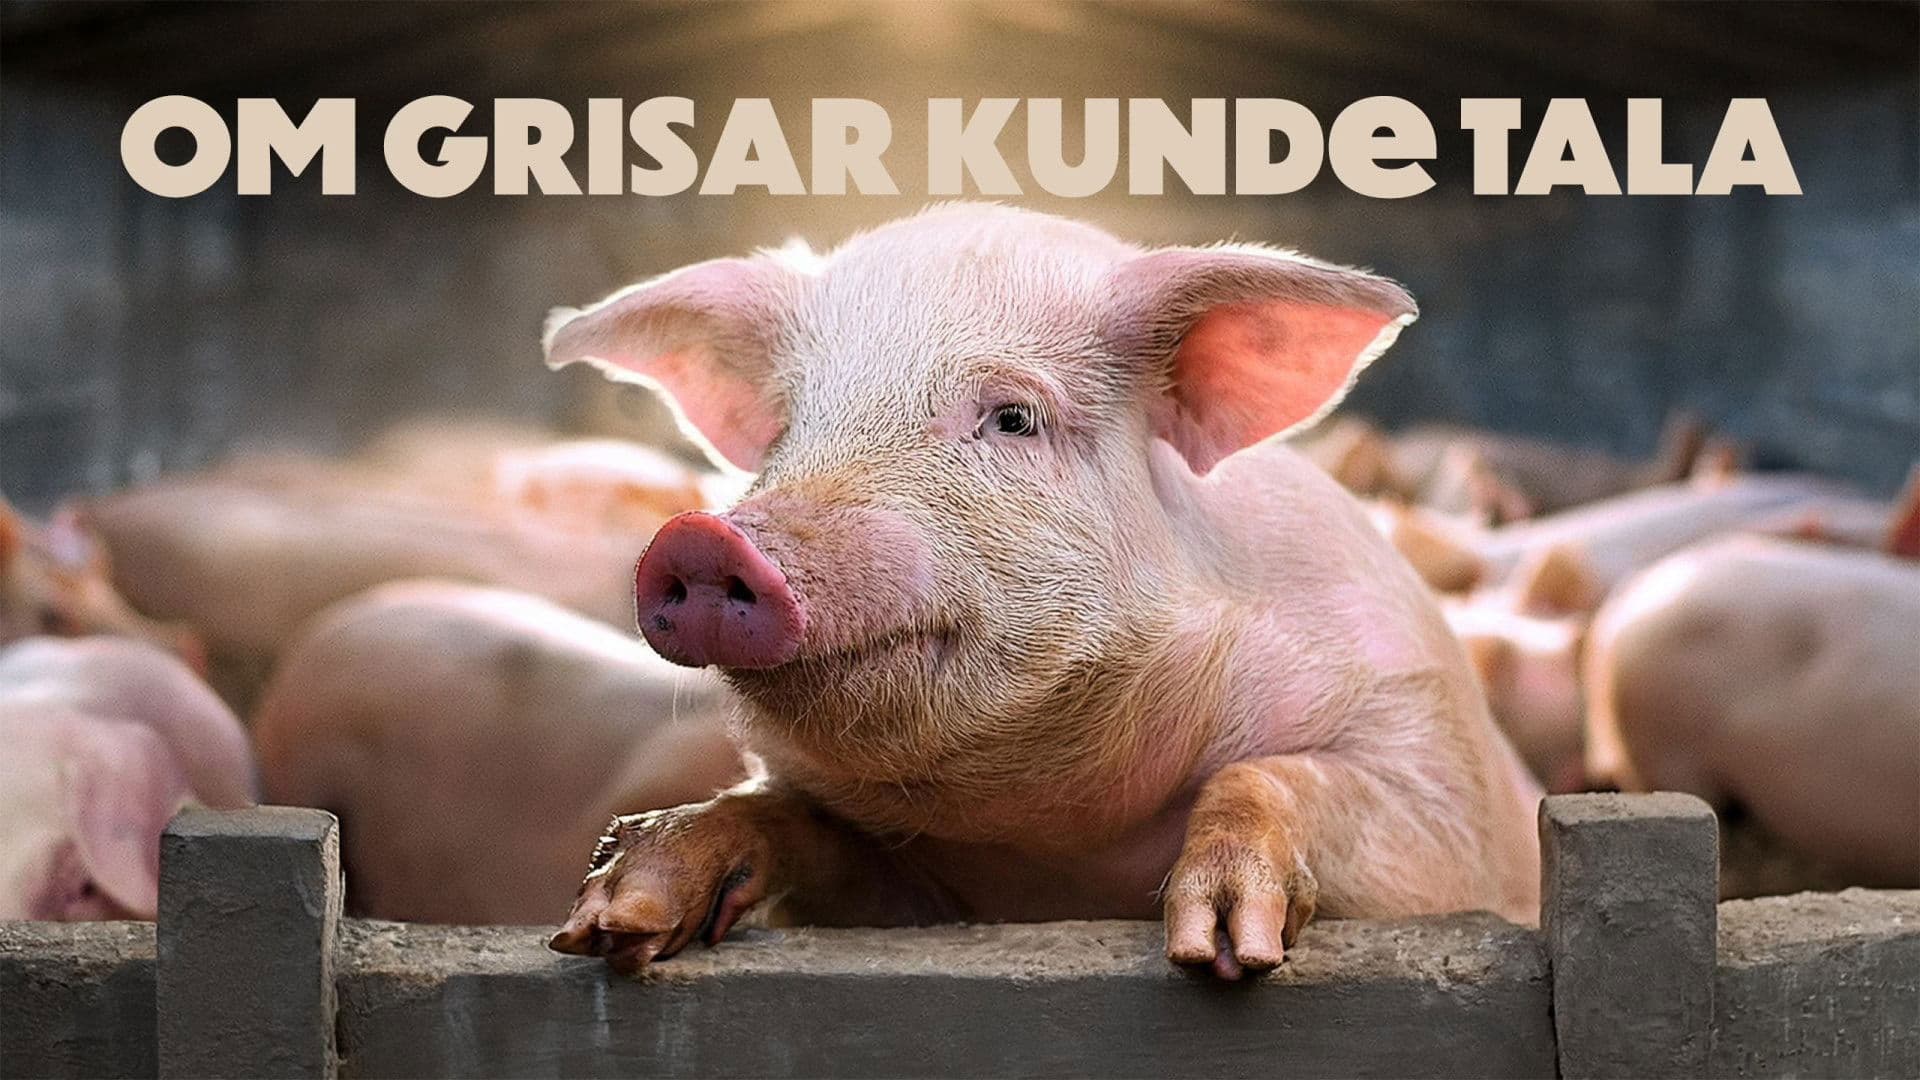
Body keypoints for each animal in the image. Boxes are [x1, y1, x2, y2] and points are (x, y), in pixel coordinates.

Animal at [541, 205, 1541, 979]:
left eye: (1014, 418)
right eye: (789, 425)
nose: (703, 539)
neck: (1058, 845)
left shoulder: (1431, 776)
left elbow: (1281, 780)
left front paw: (1223, 950)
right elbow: (788, 819)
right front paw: (610, 919)